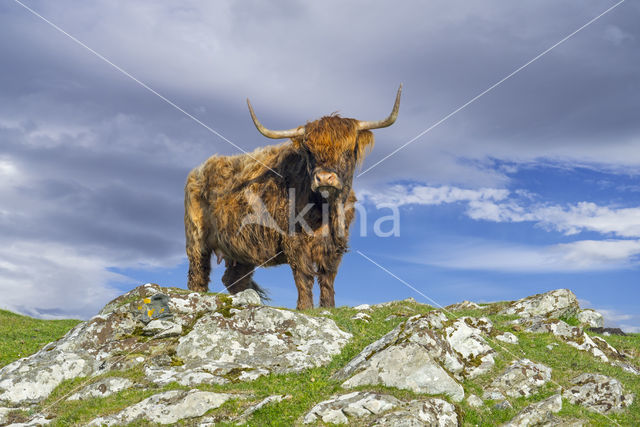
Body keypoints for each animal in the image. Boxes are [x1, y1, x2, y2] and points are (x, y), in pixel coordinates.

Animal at [185, 85, 400, 310]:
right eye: (309, 151)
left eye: (348, 150)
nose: (324, 177)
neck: (326, 209)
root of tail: (199, 169)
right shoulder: (294, 241)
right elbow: (304, 276)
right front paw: (305, 307)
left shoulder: (335, 245)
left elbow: (327, 277)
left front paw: (328, 307)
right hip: (196, 238)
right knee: (198, 272)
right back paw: (197, 296)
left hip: (241, 248)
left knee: (233, 278)